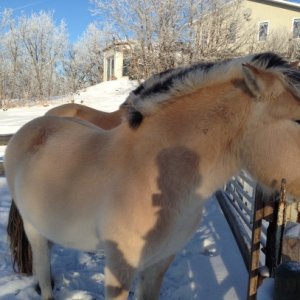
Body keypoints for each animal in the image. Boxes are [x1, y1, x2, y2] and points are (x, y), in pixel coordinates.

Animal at [5, 52, 300, 298]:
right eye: (297, 120)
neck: (156, 174)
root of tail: (30, 128)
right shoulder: (119, 269)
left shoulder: (159, 262)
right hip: (33, 230)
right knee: (44, 276)